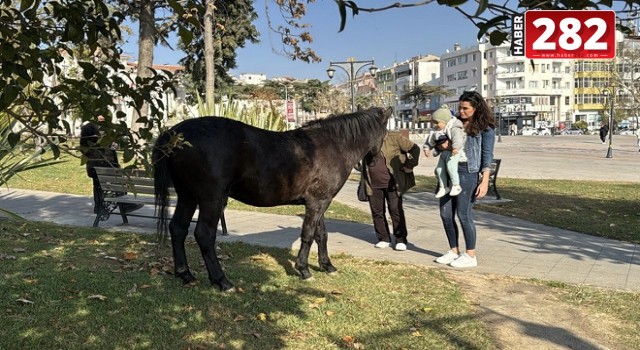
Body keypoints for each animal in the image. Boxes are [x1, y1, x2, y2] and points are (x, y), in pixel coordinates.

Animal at [153, 106, 392, 290]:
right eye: (385, 133)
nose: (373, 162)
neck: (331, 145)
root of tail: (174, 133)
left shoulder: (320, 201)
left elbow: (321, 235)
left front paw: (327, 266)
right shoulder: (317, 202)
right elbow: (308, 234)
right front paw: (304, 270)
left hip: (187, 196)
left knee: (178, 229)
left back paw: (185, 274)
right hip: (211, 199)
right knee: (203, 234)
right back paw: (222, 281)